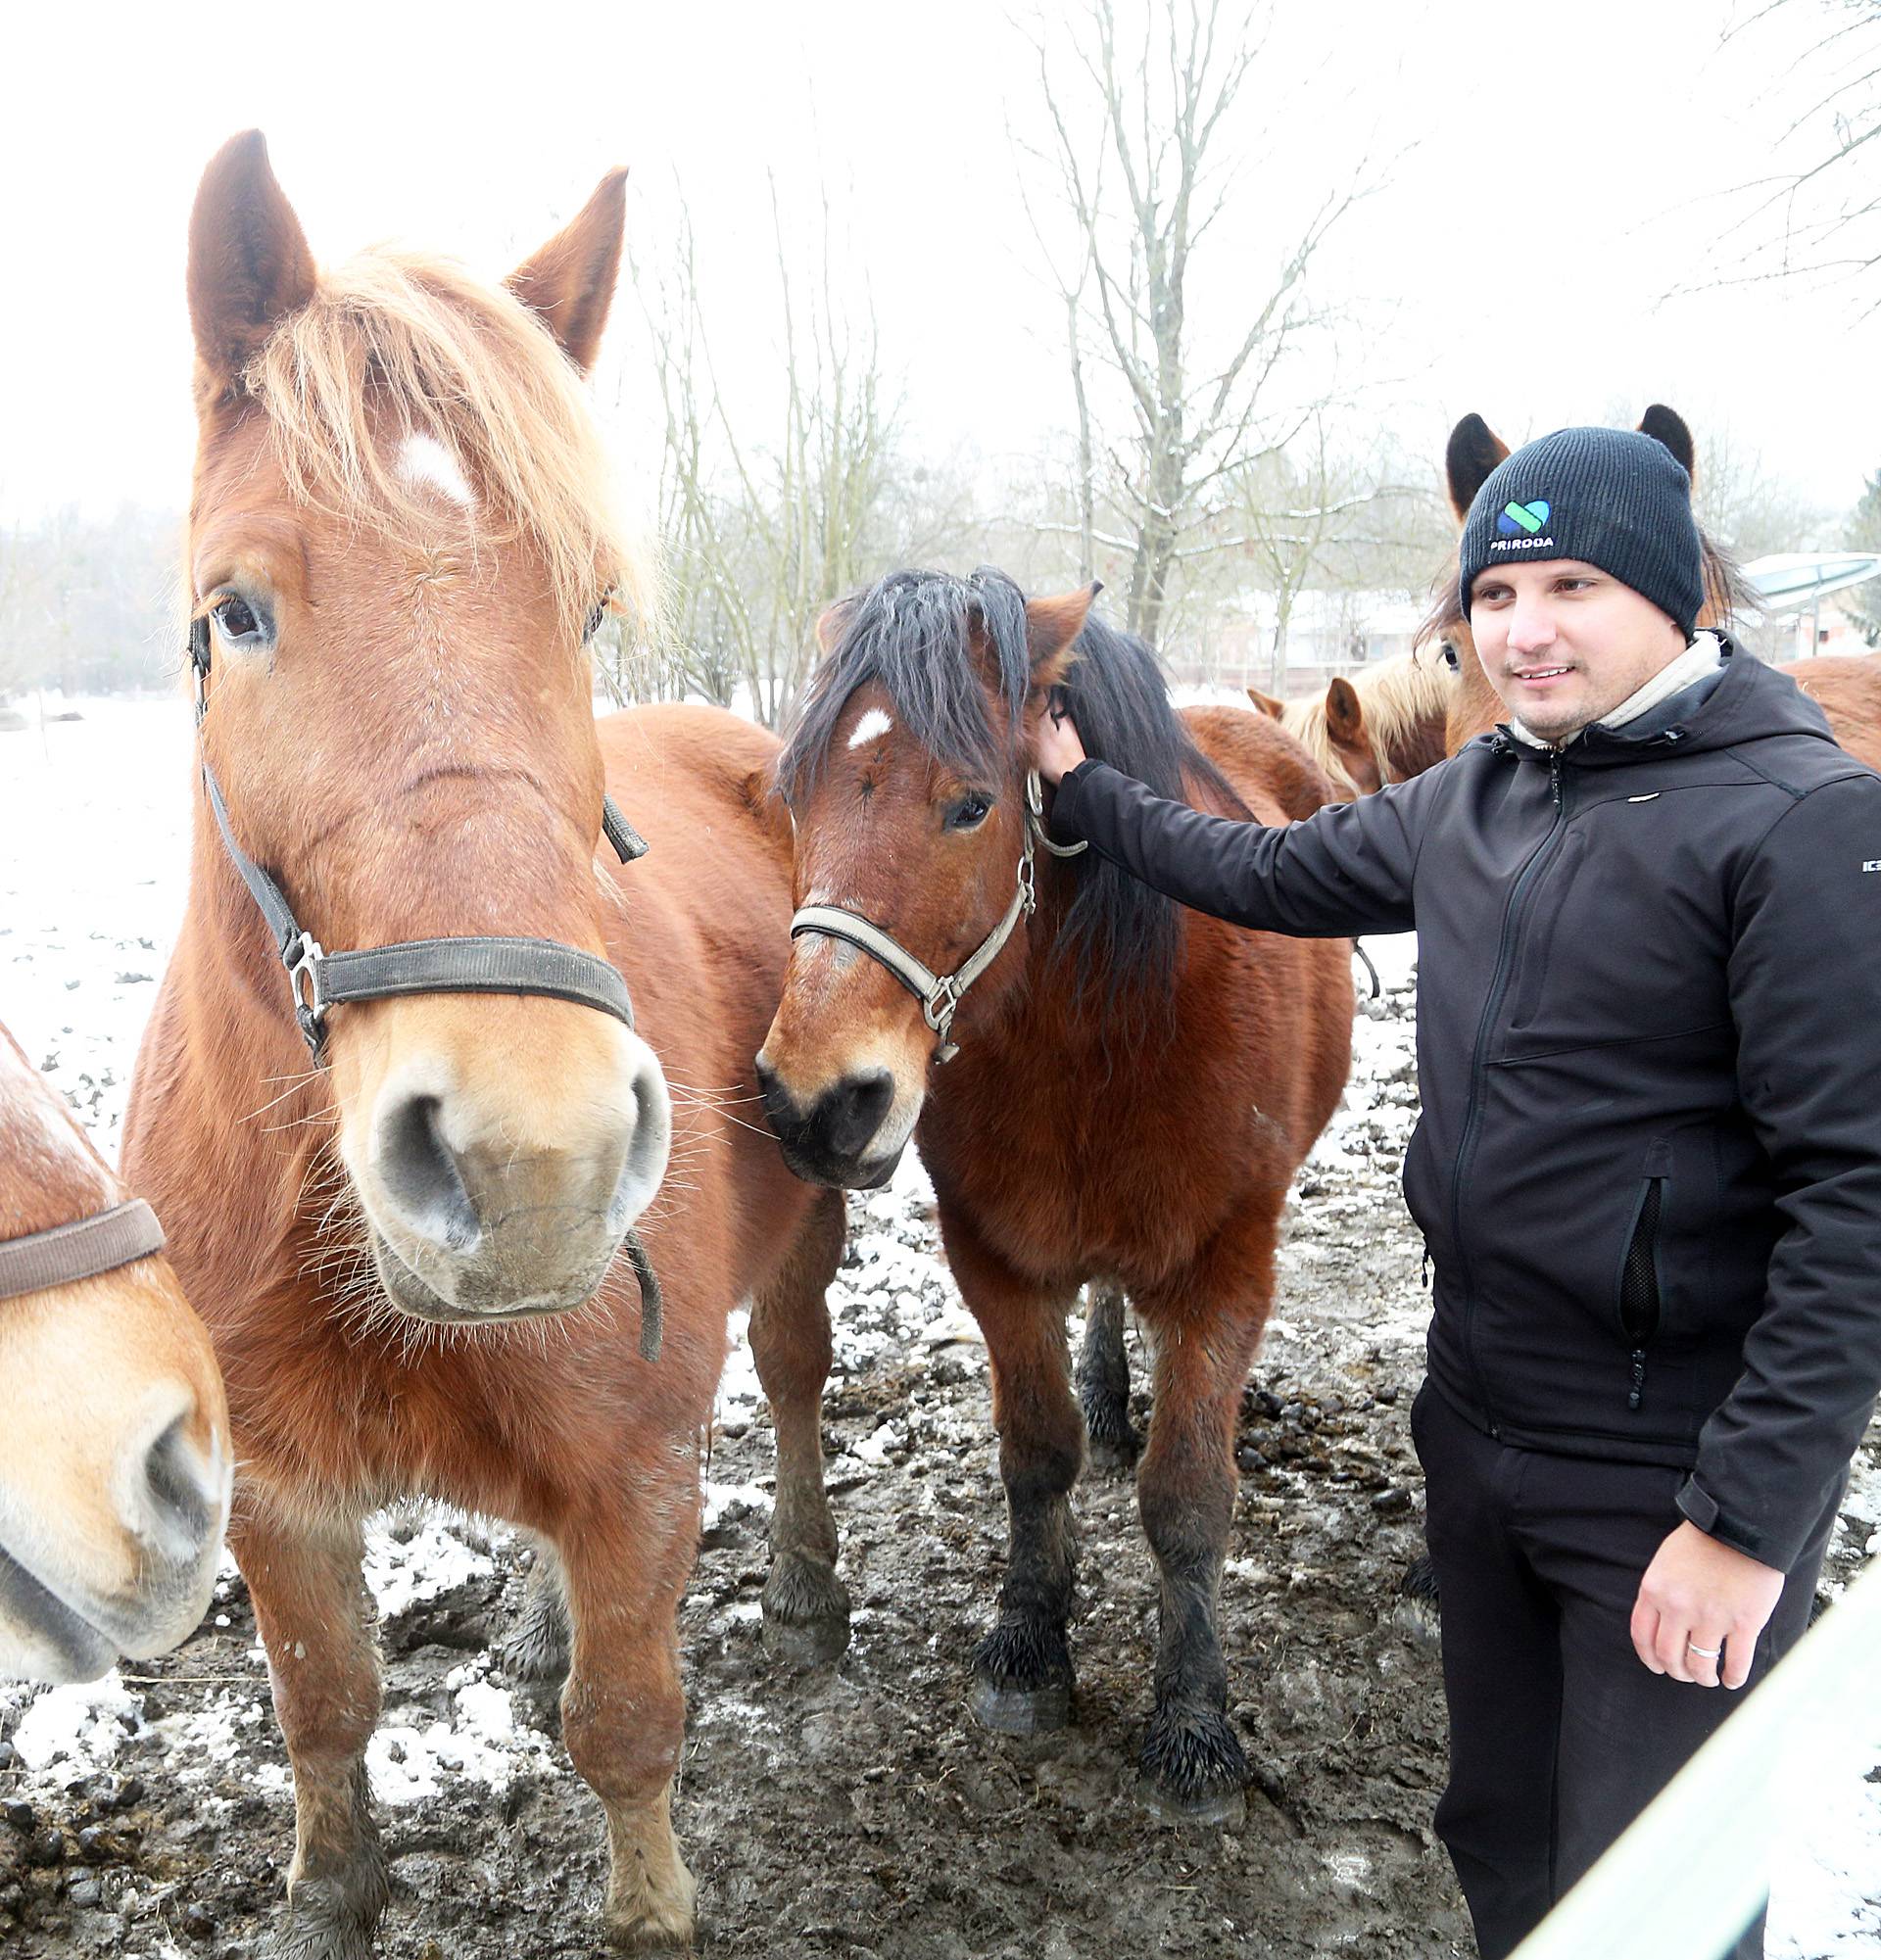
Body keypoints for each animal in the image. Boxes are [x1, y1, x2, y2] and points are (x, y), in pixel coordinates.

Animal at [121, 130, 843, 1951]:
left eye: (584, 613)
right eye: (236, 612)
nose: (538, 1157)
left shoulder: (644, 1475)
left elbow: (630, 1727)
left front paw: (649, 1904)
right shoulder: (276, 1500)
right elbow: (324, 1705)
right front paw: (333, 1888)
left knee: (800, 1378)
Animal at [748, 572, 1348, 1818]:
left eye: (972, 806)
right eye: (791, 800)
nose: (816, 1104)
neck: (1096, 1035)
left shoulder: (1226, 1266)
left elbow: (1187, 1496)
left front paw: (1193, 1723)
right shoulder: (996, 1259)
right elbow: (1035, 1452)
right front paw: (1029, 1645)